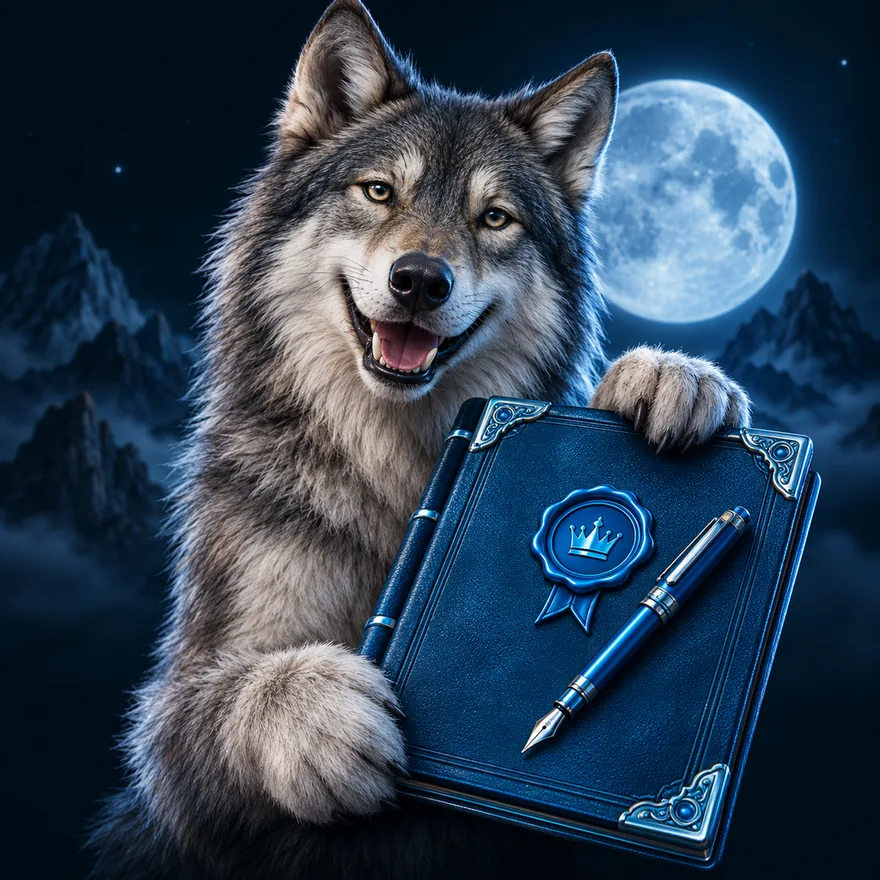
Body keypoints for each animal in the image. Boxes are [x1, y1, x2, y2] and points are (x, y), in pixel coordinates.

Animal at [90, 1, 749, 877]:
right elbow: (234, 694)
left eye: (493, 217)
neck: (404, 462)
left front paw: (668, 375)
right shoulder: (172, 733)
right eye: (379, 191)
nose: (419, 280)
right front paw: (319, 714)